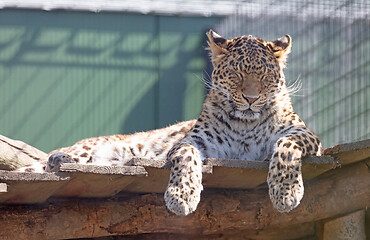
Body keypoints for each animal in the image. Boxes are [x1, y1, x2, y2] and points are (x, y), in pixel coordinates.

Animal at [14, 30, 322, 216]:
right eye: (237, 73)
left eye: (265, 77)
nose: (250, 98)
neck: (245, 125)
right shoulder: (193, 141)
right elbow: (185, 157)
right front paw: (181, 196)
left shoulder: (306, 135)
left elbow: (285, 146)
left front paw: (285, 192)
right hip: (92, 147)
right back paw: (59, 158)